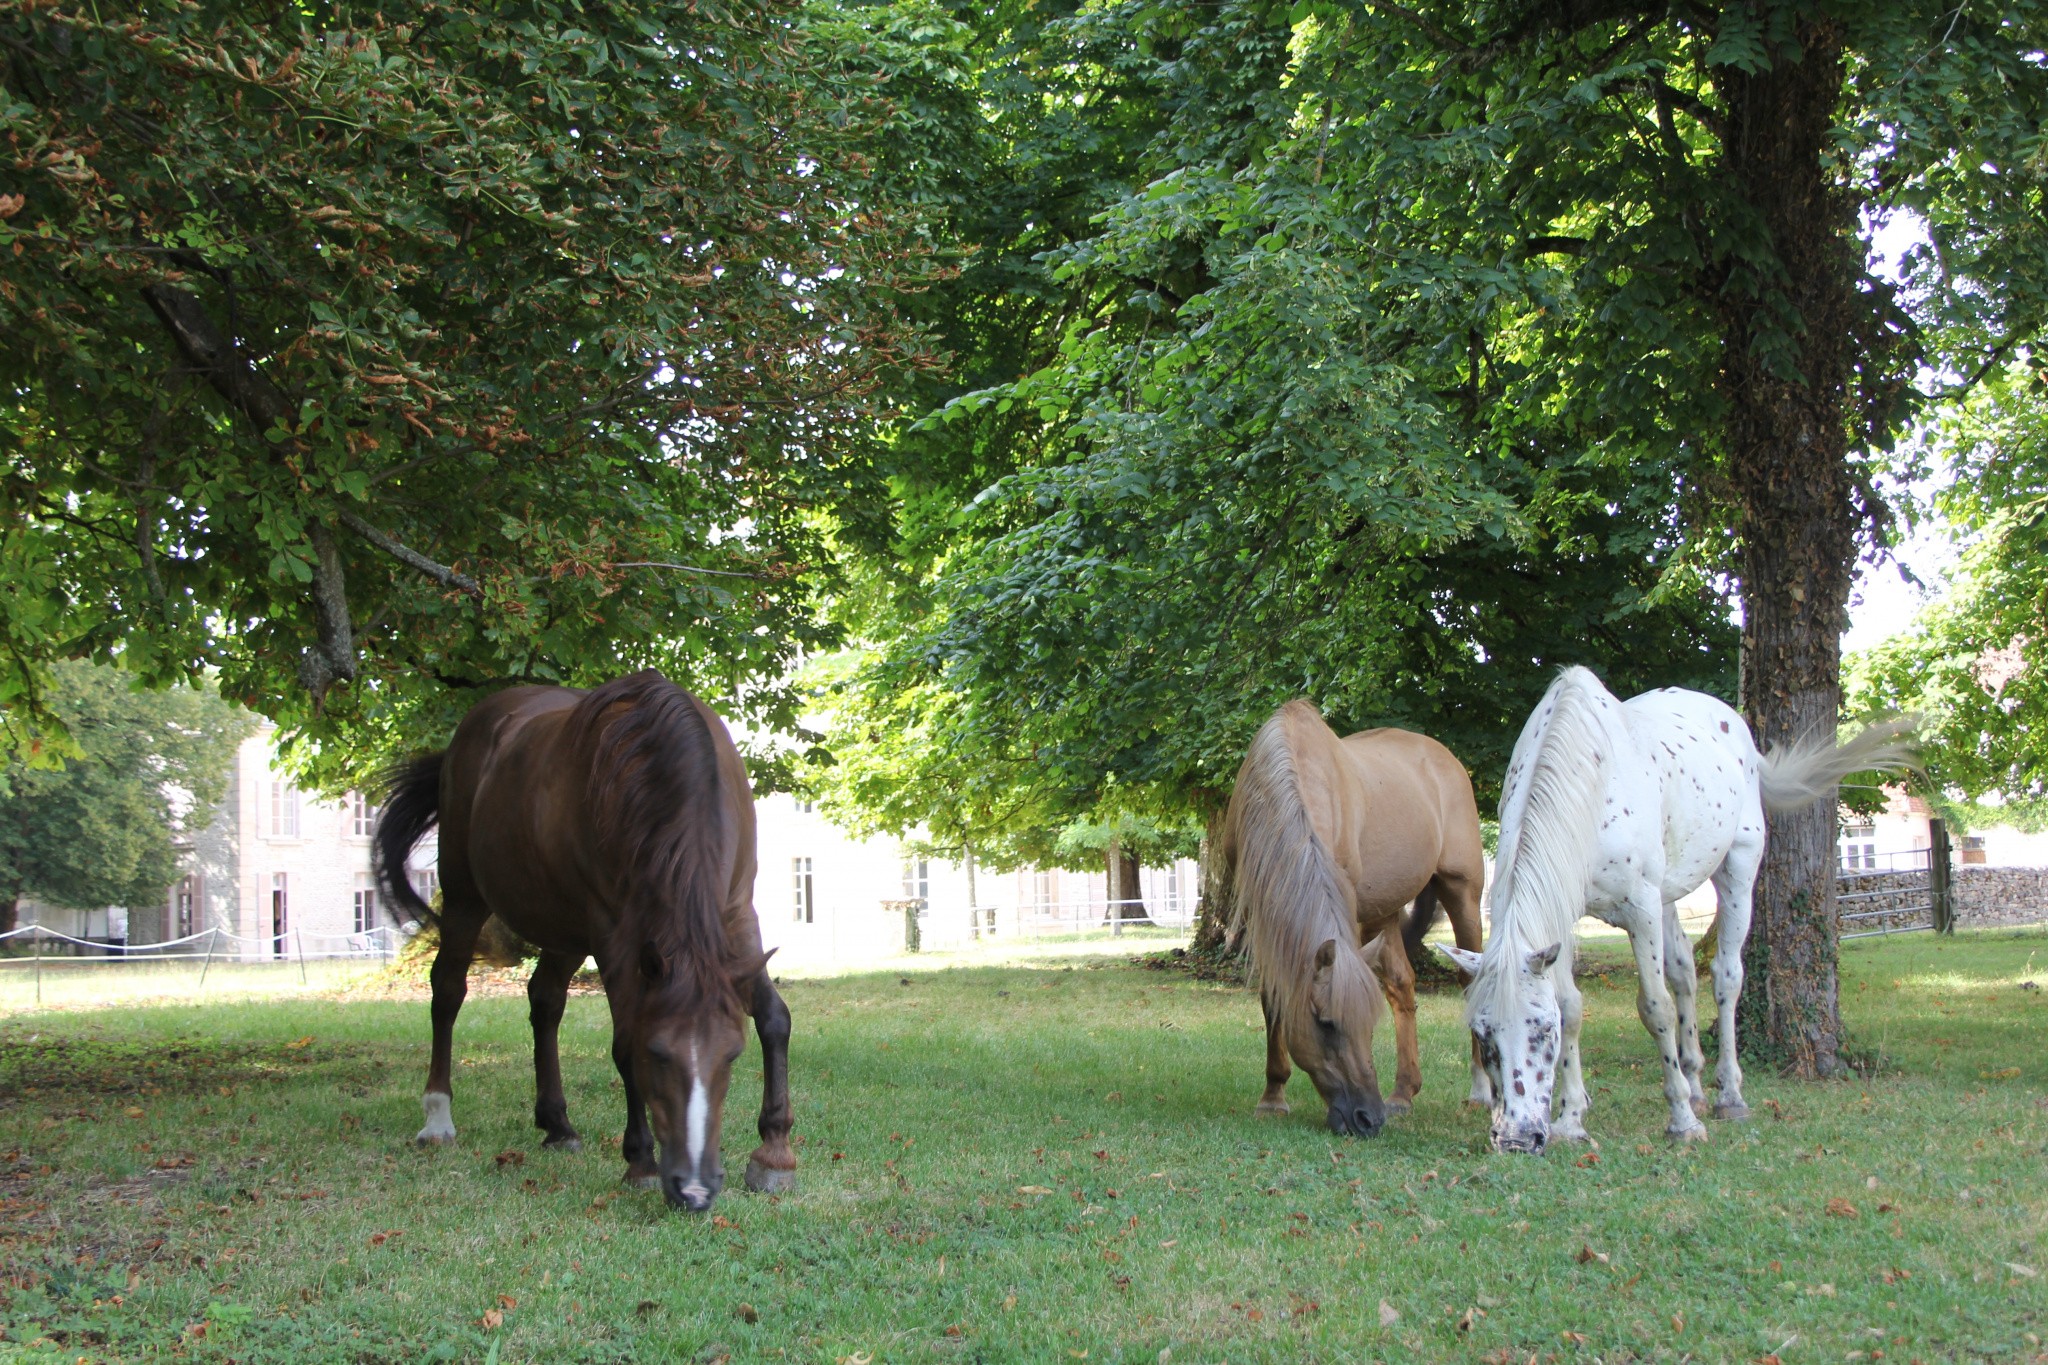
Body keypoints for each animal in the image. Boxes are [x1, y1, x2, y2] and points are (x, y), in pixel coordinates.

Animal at [372, 667, 794, 1211]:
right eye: (658, 1054)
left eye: (731, 1054)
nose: (696, 1189)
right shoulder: (612, 932)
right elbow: (623, 1042)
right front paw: (640, 1161)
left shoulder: (738, 911)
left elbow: (772, 1017)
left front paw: (775, 1151)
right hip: (466, 898)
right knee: (447, 991)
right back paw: (437, 1116)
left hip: (563, 930)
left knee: (545, 1001)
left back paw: (557, 1123)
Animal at [1212, 699, 1490, 1137]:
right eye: (1326, 1024)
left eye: (1368, 1026)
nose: (1368, 1118)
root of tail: (1445, 759)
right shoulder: (1264, 915)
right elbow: (1274, 997)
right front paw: (1273, 1096)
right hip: (1387, 910)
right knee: (1401, 986)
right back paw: (1403, 1093)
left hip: (1461, 892)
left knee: (1469, 978)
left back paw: (1480, 1090)